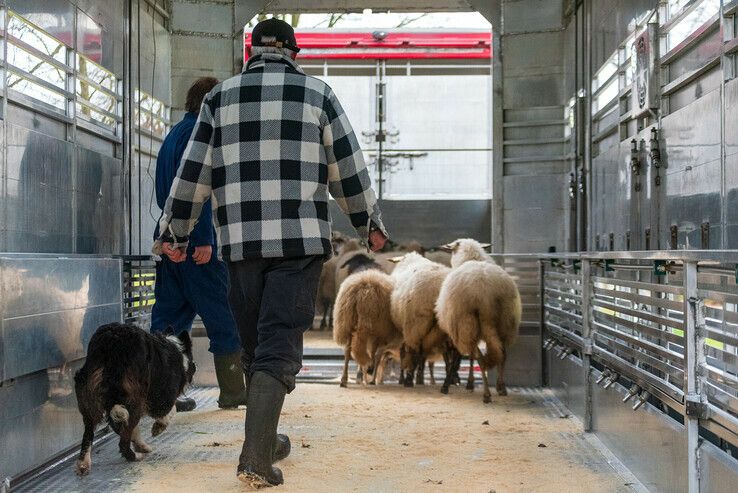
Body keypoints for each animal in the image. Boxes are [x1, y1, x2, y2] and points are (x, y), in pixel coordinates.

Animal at [388, 252, 452, 386]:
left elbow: (404, 353)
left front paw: (405, 378)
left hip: (415, 325)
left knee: (415, 352)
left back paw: (409, 380)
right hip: (444, 329)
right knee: (446, 354)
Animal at [434, 238, 520, 404]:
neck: (472, 258)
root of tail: (485, 295)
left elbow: (461, 358)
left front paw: (456, 383)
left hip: (467, 323)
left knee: (480, 358)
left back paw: (486, 394)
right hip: (505, 321)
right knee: (502, 353)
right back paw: (501, 387)